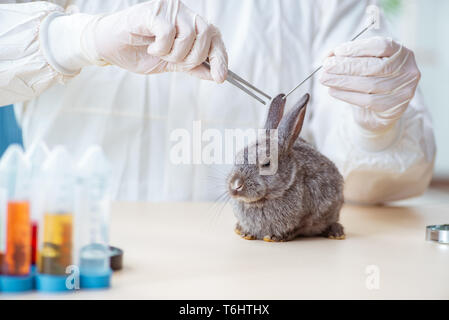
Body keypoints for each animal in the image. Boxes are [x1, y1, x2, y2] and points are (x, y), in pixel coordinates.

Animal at [226, 94, 344, 241]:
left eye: (267, 164)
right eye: (237, 156)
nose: (236, 185)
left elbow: (299, 226)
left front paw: (275, 237)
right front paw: (246, 233)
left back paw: (336, 233)